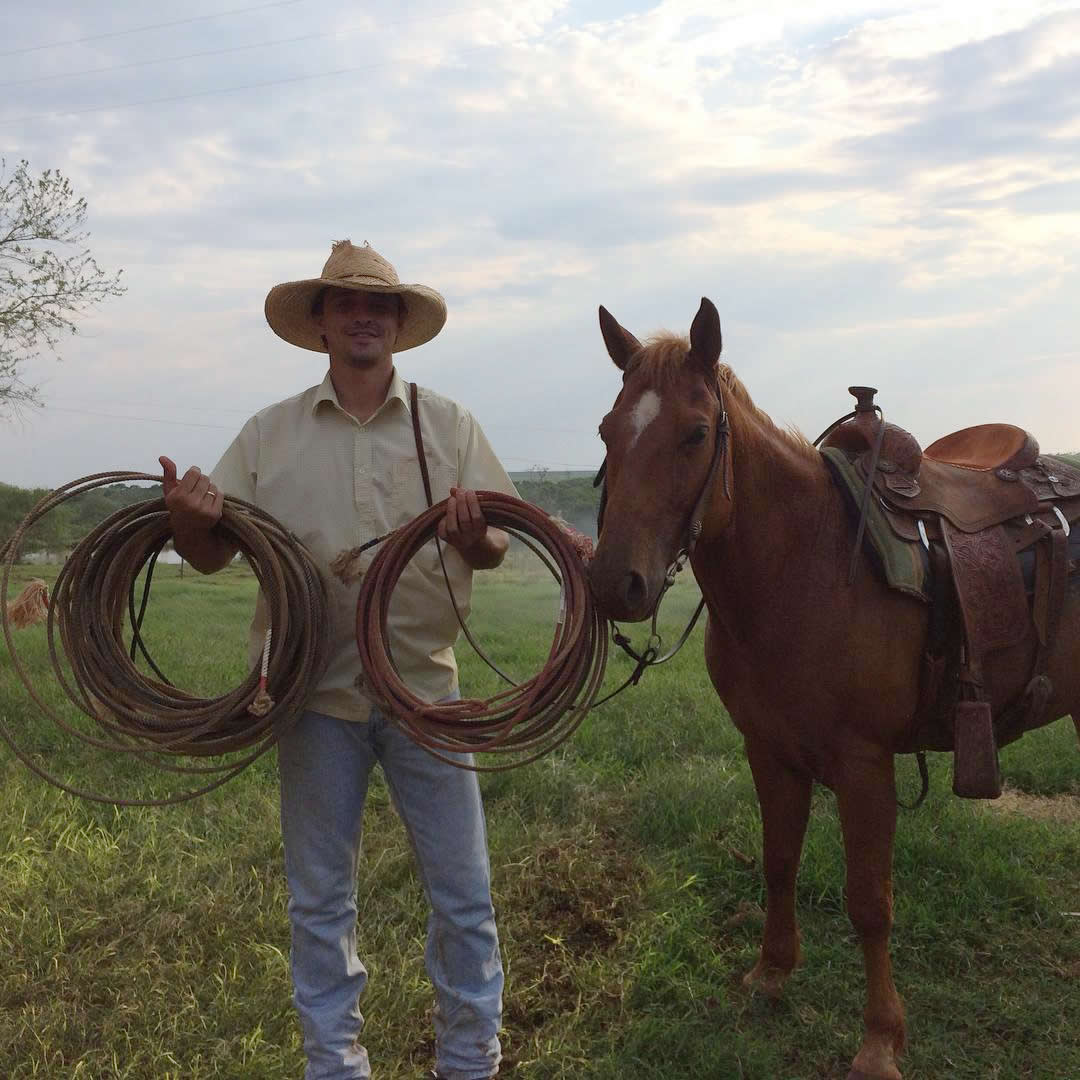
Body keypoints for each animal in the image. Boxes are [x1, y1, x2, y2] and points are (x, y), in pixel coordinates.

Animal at [587, 298, 1080, 1080]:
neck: (802, 566)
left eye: (696, 433)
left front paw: (880, 1039)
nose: (615, 584)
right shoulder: (769, 752)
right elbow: (778, 862)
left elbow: (869, 902)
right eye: (608, 431)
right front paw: (771, 974)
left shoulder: (863, 765)